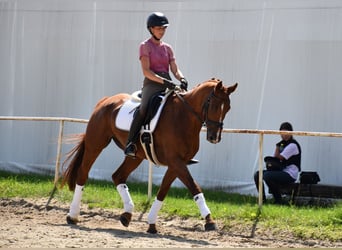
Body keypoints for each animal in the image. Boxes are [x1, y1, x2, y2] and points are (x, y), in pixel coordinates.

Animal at [61, 77, 236, 232]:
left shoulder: (177, 164)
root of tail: (105, 100)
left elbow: (162, 191)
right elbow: (194, 187)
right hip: (96, 144)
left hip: (136, 156)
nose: (214, 137)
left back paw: (126, 214)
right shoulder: (176, 162)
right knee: (83, 173)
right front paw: (210, 221)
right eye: (213, 105)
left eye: (228, 108)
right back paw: (73, 216)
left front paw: (151, 224)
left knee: (118, 176)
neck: (183, 117)